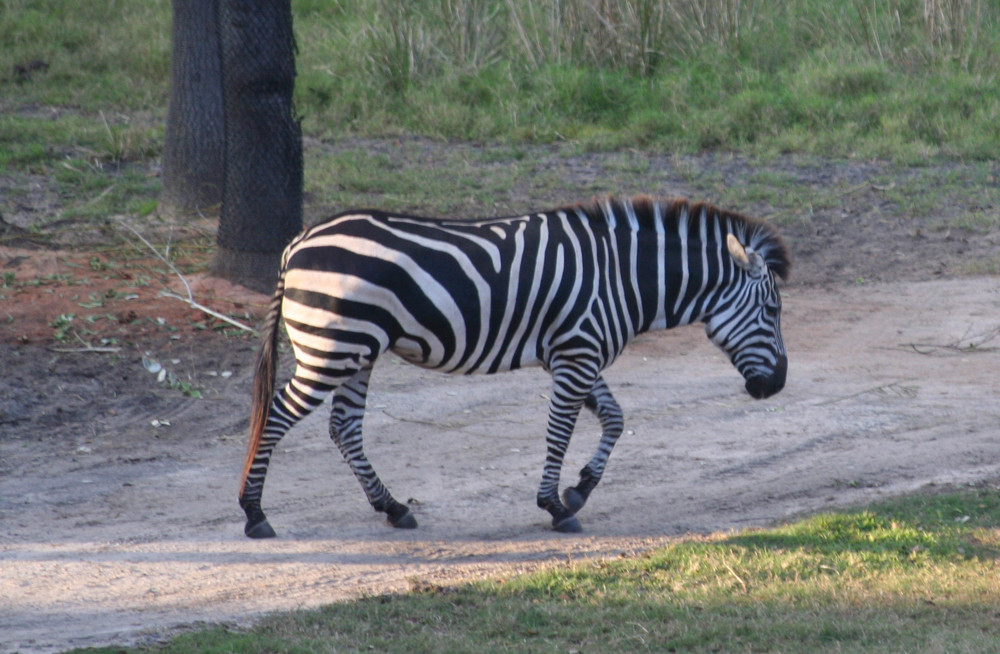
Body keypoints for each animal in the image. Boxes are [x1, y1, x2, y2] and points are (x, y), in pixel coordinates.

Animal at [238, 195, 792, 540]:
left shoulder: (573, 352)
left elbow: (615, 419)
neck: (622, 277)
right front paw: (556, 506)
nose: (778, 385)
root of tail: (297, 243)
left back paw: (393, 508)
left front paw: (579, 489)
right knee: (277, 417)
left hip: (357, 350)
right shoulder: (577, 353)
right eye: (772, 311)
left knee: (344, 427)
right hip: (332, 347)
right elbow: (560, 431)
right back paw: (254, 513)